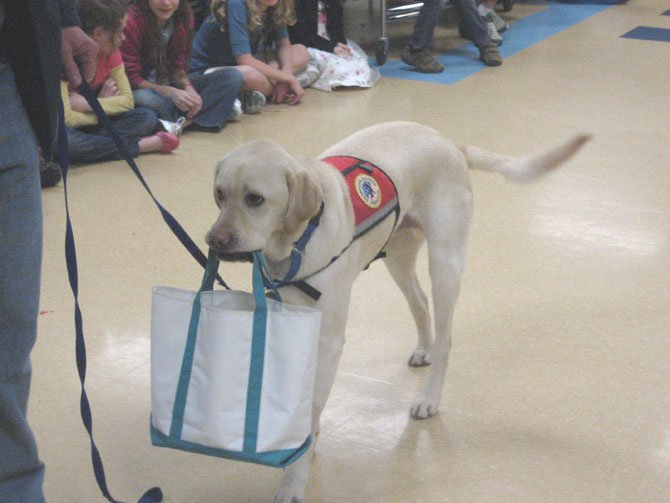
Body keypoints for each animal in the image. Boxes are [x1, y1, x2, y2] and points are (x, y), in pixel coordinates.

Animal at [206, 122, 592, 503]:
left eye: (255, 199)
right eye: (220, 194)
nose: (214, 240)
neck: (297, 241)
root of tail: (450, 142)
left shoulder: (329, 341)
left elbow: (312, 406)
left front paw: (295, 477)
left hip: (445, 265)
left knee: (445, 340)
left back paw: (429, 398)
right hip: (399, 256)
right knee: (419, 303)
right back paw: (423, 348)